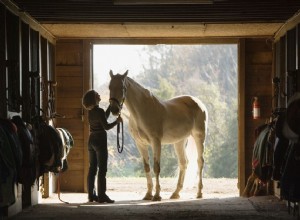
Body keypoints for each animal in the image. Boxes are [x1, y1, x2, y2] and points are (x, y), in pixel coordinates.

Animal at [108, 69, 209, 200]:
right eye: (110, 87)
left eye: (123, 88)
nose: (114, 110)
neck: (142, 111)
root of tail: (198, 102)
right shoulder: (140, 144)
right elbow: (147, 167)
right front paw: (148, 194)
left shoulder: (156, 142)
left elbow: (156, 167)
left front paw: (157, 195)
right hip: (179, 141)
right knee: (183, 163)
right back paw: (176, 193)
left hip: (199, 136)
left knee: (200, 161)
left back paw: (199, 193)